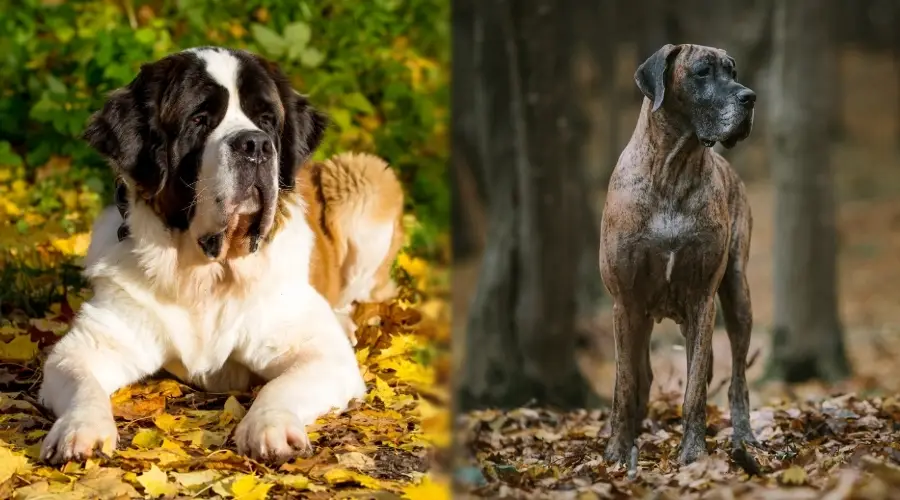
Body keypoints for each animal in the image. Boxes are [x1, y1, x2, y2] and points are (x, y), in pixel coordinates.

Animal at [38, 47, 402, 464]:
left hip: (365, 178)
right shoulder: (86, 346)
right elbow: (81, 381)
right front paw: (80, 430)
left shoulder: (323, 354)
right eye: (199, 120)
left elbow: (281, 386)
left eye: (266, 120)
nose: (256, 145)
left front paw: (270, 427)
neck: (208, 272)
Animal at [600, 43, 756, 464]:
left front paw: (693, 453)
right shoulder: (625, 303)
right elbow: (624, 386)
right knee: (641, 376)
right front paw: (617, 451)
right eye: (702, 72)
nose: (750, 97)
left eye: (733, 71)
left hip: (737, 296)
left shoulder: (702, 299)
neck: (673, 168)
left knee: (737, 381)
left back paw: (745, 438)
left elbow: (695, 390)